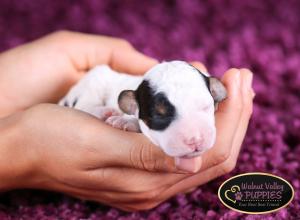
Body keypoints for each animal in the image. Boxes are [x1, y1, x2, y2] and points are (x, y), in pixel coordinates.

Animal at [59, 60, 227, 158]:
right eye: (159, 115)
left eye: (206, 106)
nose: (195, 140)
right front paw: (125, 121)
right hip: (94, 80)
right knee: (83, 104)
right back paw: (103, 112)